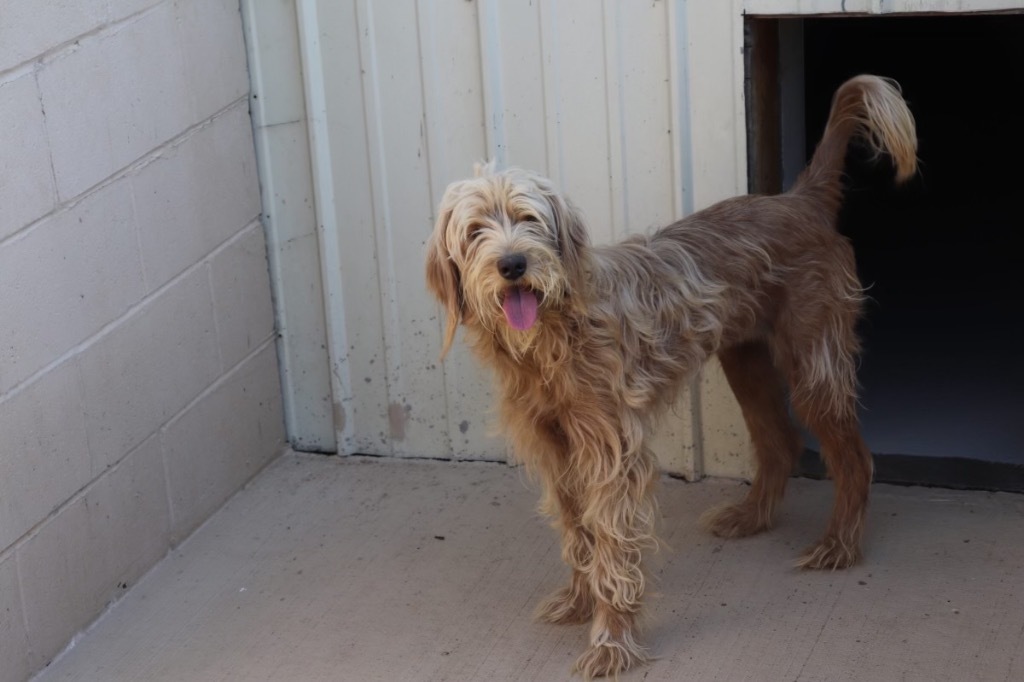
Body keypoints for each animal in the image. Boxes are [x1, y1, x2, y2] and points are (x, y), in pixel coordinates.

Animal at [419, 74, 917, 675]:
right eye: (474, 231)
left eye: (530, 219)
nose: (513, 264)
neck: (553, 340)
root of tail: (798, 199)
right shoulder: (556, 451)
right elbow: (578, 534)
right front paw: (580, 602)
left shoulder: (612, 454)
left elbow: (613, 545)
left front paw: (611, 640)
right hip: (744, 360)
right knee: (780, 442)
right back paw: (751, 517)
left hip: (812, 365)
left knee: (854, 458)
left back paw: (839, 547)